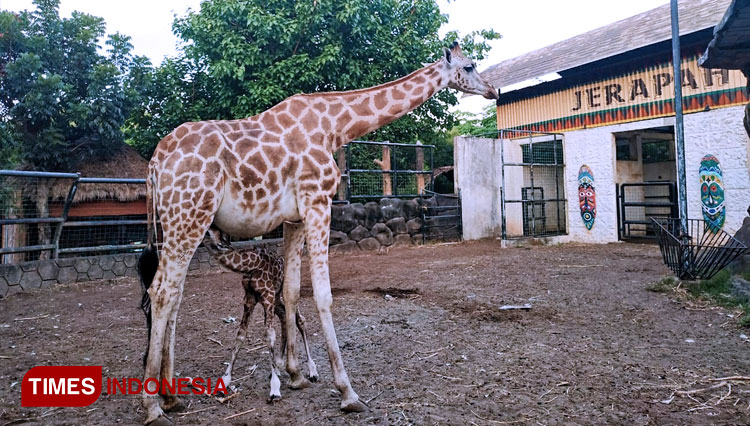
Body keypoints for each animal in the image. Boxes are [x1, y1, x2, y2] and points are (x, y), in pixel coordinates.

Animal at [206, 228, 320, 402]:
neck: (250, 267)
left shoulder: (268, 297)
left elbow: (269, 335)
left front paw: (274, 389)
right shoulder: (249, 300)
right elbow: (240, 334)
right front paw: (224, 381)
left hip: (284, 295)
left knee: (300, 320)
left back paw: (312, 371)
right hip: (277, 299)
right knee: (284, 318)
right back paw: (279, 365)